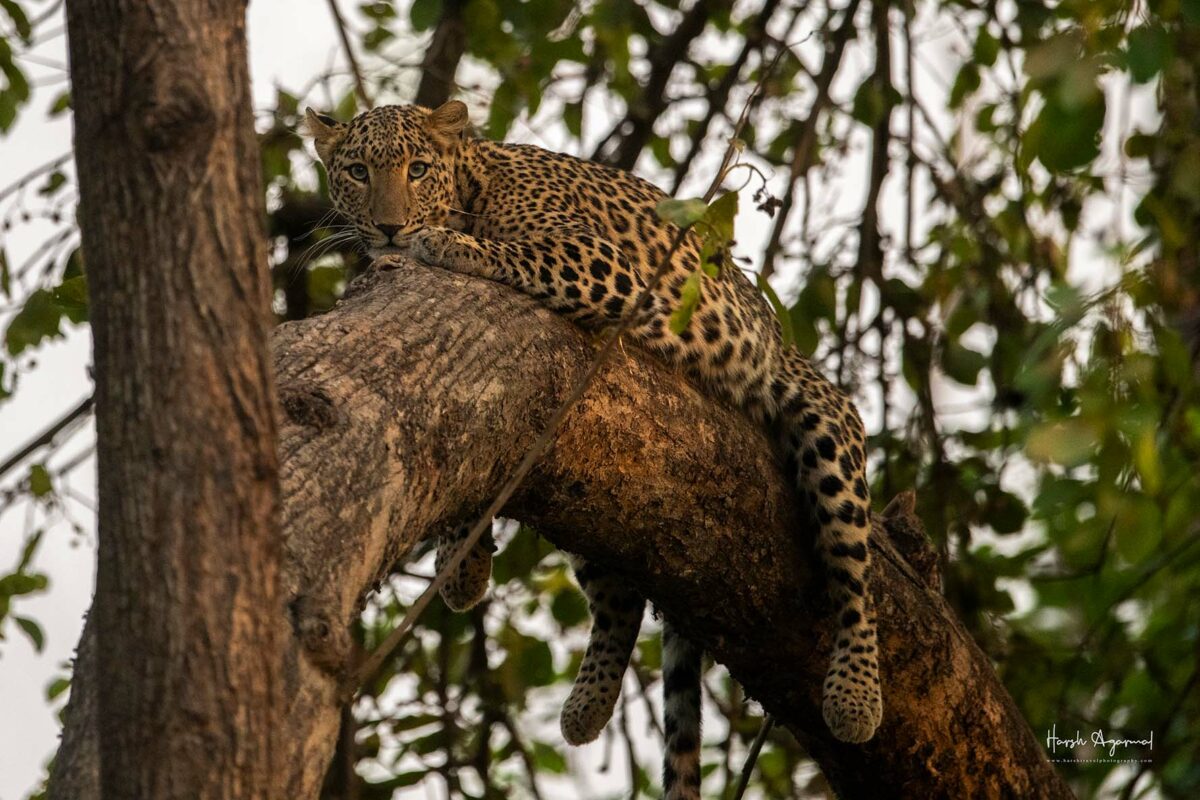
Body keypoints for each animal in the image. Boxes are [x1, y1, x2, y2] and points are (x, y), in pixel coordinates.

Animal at [305, 101, 882, 800]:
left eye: (416, 169)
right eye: (358, 172)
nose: (389, 229)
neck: (474, 182)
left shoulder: (604, 260)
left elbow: (511, 251)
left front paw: (446, 243)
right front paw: (463, 566)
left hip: (825, 427)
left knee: (855, 580)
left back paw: (856, 698)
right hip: (599, 488)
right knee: (620, 598)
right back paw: (587, 707)